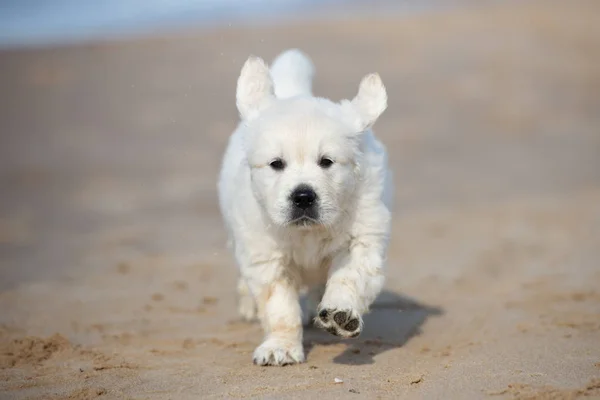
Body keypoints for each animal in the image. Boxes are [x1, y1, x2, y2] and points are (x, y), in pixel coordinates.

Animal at [218, 49, 392, 366]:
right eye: (276, 164)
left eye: (327, 161)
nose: (303, 197)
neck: (307, 232)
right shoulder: (265, 255)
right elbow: (279, 306)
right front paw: (281, 346)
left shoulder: (363, 238)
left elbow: (349, 277)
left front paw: (340, 313)